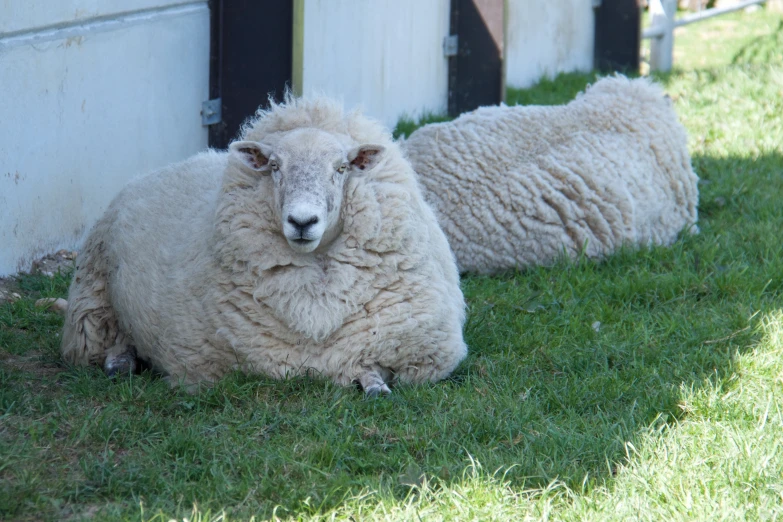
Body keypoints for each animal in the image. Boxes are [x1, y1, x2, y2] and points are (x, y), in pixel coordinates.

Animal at [62, 94, 466, 394]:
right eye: (274, 166)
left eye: (341, 168)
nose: (302, 221)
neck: (317, 302)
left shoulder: (425, 353)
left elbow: (373, 368)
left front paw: (374, 383)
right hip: (94, 297)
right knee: (109, 338)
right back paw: (119, 362)